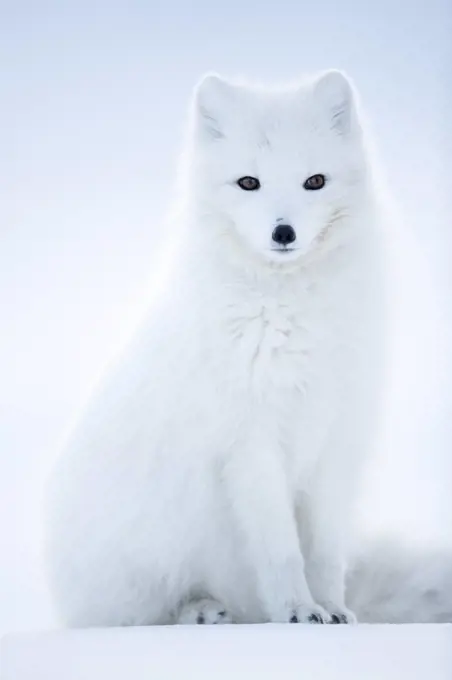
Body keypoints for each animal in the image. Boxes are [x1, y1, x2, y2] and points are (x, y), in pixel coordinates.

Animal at [44, 69, 450, 628]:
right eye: (248, 183)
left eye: (315, 181)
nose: (284, 232)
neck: (291, 315)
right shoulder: (250, 444)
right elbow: (281, 550)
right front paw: (299, 610)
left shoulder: (335, 441)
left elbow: (325, 551)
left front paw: (333, 610)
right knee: (143, 615)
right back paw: (201, 611)